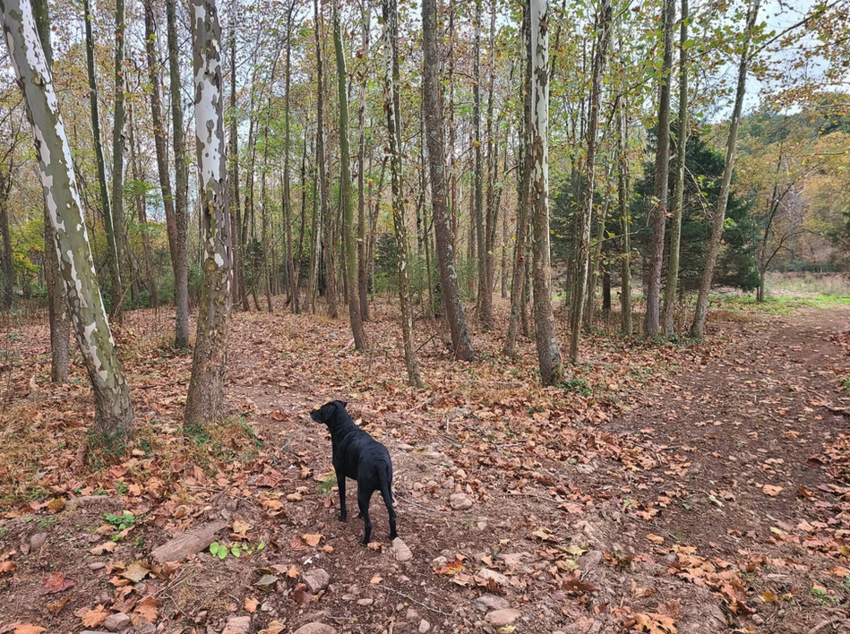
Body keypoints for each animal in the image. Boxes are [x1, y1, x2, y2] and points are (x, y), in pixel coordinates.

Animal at [309, 400, 397, 545]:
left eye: (321, 409)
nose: (311, 412)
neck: (345, 428)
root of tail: (379, 462)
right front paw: (360, 514)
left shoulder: (340, 474)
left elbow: (342, 499)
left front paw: (343, 516)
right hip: (387, 491)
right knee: (392, 516)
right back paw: (393, 536)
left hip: (362, 494)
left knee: (369, 524)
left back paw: (364, 542)